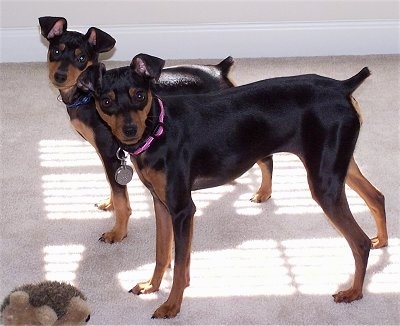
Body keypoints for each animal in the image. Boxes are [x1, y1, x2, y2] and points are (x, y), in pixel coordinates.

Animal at [39, 17, 236, 242]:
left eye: (81, 58)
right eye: (55, 51)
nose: (59, 76)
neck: (85, 97)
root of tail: (220, 69)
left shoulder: (109, 151)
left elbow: (120, 196)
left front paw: (118, 231)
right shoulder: (110, 154)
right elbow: (114, 185)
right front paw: (110, 203)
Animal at [78, 54, 388, 318]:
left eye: (140, 95)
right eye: (106, 101)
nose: (130, 131)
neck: (159, 130)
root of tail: (341, 86)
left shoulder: (183, 210)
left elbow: (179, 265)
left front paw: (171, 305)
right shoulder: (161, 203)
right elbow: (161, 253)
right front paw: (151, 286)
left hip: (324, 182)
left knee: (359, 242)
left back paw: (354, 292)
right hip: (338, 167)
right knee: (377, 197)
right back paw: (382, 241)